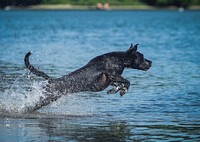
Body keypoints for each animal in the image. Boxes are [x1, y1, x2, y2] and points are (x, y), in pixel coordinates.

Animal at [24, 43, 152, 110]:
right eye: (142, 57)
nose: (151, 62)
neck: (120, 58)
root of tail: (51, 80)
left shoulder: (111, 80)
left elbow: (119, 85)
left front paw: (114, 91)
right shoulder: (113, 75)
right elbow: (127, 82)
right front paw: (123, 91)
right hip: (46, 98)